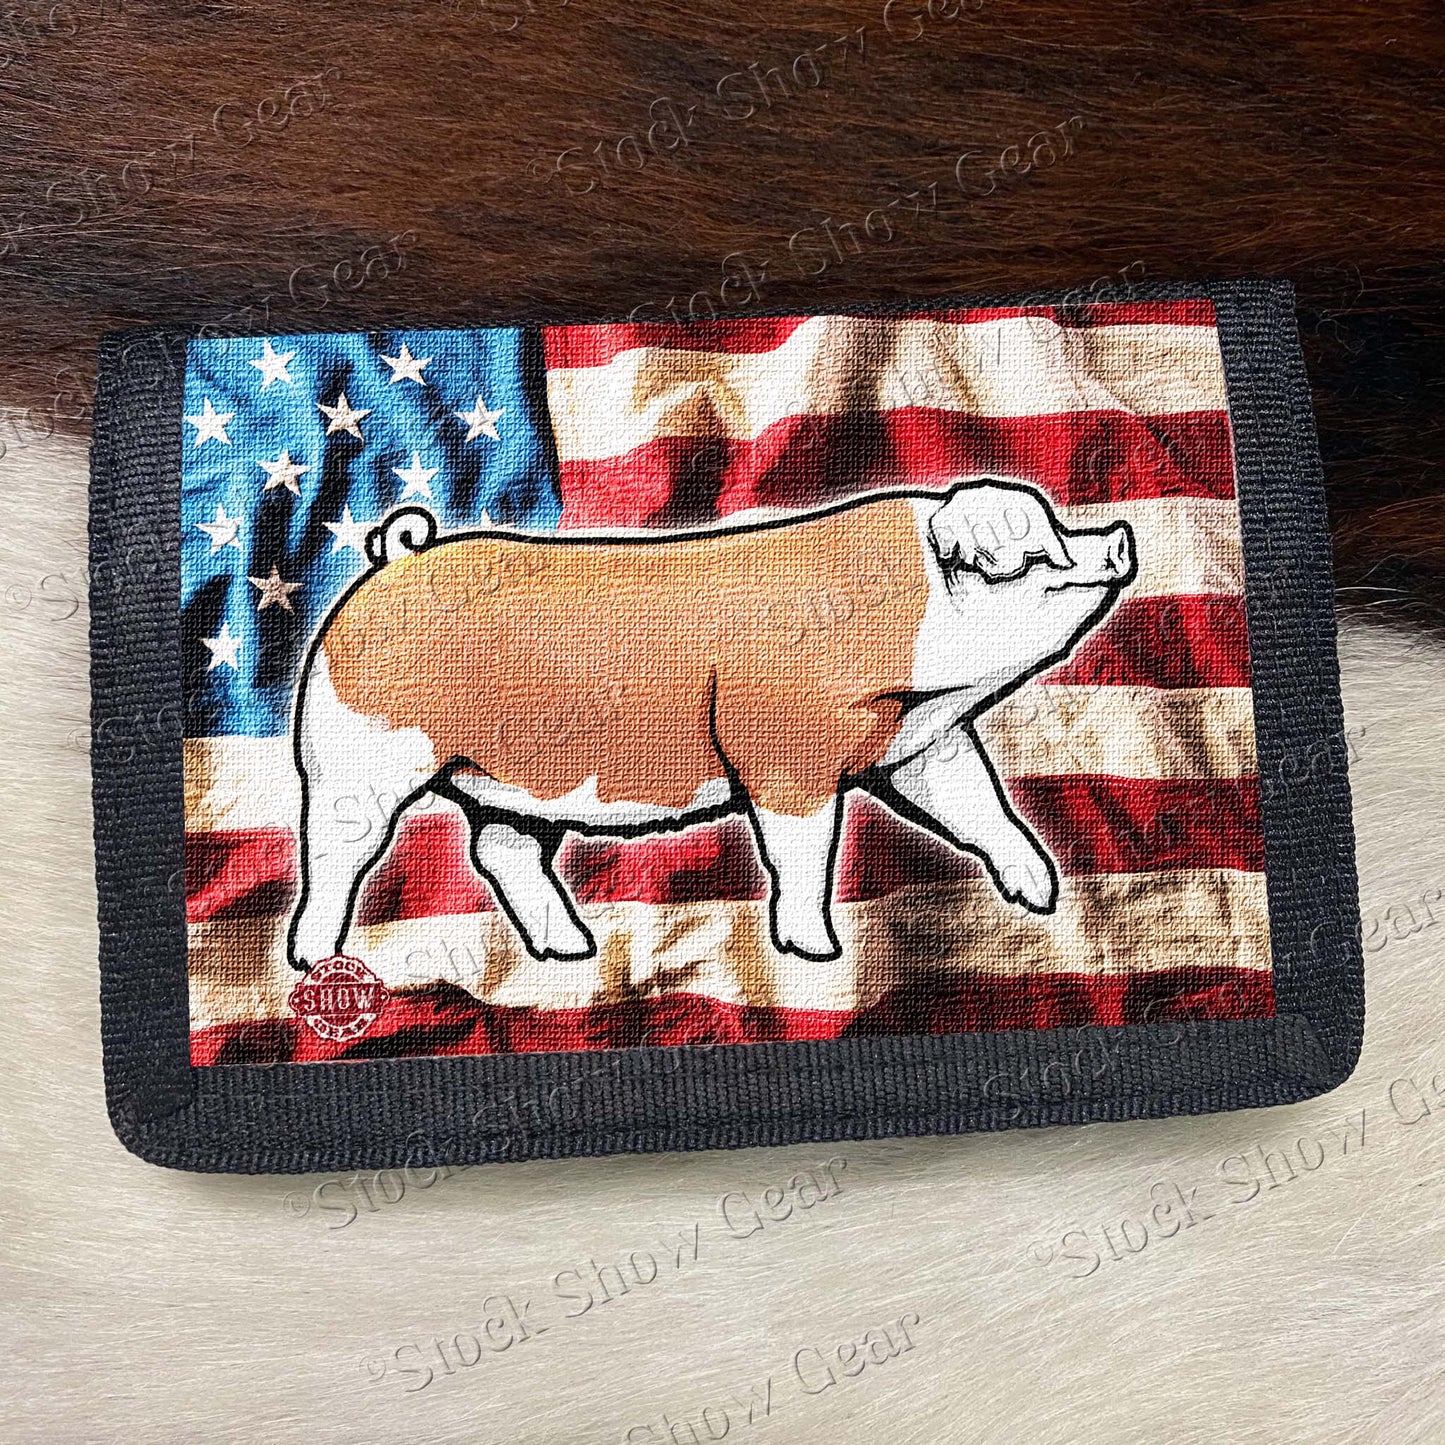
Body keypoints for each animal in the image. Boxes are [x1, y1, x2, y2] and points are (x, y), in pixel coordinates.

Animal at [285, 478, 1136, 970]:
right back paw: (311, 958)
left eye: (1060, 527)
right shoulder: (785, 753)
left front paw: (1037, 890)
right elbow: (803, 853)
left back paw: (573, 950)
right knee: (334, 852)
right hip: (355, 758)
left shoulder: (918, 744)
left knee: (500, 850)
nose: (1121, 535)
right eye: (1031, 552)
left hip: (510, 782)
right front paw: (816, 952)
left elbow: (977, 802)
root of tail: (398, 559)